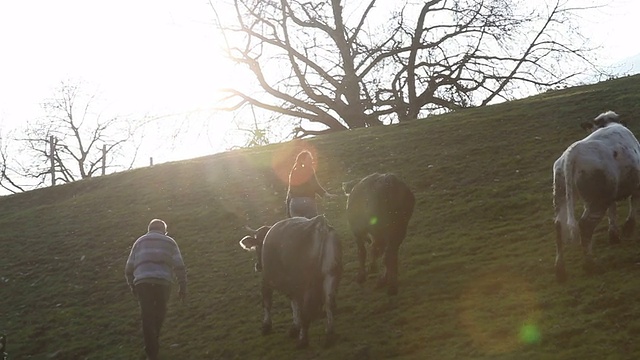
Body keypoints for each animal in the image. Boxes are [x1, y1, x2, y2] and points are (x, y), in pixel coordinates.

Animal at [239, 215, 340, 348]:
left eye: (257, 246)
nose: (258, 266)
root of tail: (319, 223)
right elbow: (294, 303)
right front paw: (294, 327)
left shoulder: (267, 280)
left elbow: (267, 303)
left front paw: (266, 326)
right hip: (330, 275)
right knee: (329, 303)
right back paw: (330, 333)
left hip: (307, 283)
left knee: (305, 312)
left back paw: (303, 340)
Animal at [552, 111, 640, 282]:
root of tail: (573, 152)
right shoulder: (635, 185)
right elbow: (633, 205)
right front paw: (627, 228)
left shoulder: (611, 193)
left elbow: (613, 210)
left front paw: (614, 235)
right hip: (596, 201)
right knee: (585, 225)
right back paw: (590, 265)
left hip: (561, 195)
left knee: (559, 225)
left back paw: (560, 270)